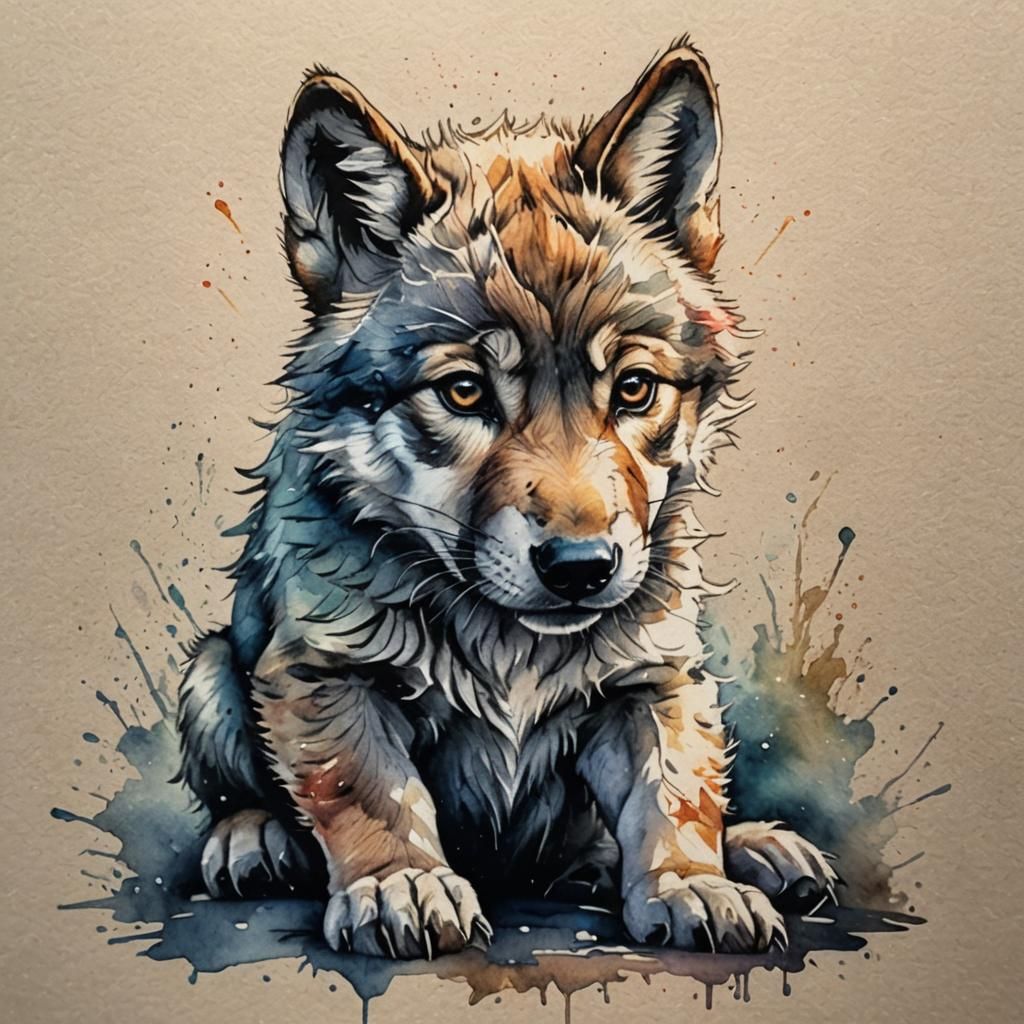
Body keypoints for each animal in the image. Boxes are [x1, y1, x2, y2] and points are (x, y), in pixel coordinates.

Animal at [177, 39, 836, 959]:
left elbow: (675, 792)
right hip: (207, 674)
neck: (511, 645)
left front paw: (692, 884)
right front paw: (402, 883)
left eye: (634, 389)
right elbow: (372, 792)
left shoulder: (658, 681)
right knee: (242, 788)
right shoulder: (324, 673)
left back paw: (761, 849)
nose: (582, 567)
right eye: (463, 393)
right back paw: (254, 838)